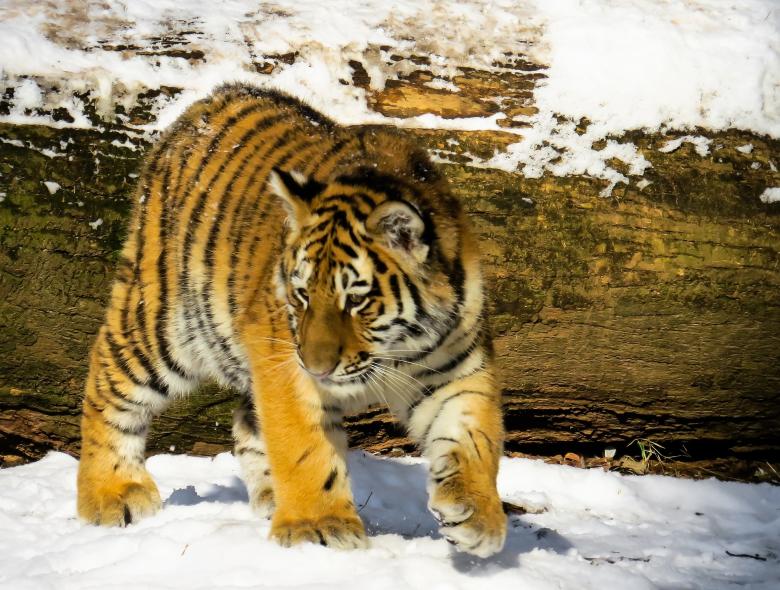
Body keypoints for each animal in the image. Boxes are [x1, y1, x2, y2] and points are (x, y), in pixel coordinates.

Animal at [77, 83, 507, 558]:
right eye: (302, 294)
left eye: (356, 300)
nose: (318, 367)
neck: (398, 348)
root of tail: (205, 102)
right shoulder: (284, 363)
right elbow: (302, 447)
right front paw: (317, 527)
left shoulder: (455, 365)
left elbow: (475, 437)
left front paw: (477, 516)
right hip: (163, 323)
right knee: (109, 381)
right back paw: (111, 494)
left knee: (245, 423)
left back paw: (269, 498)